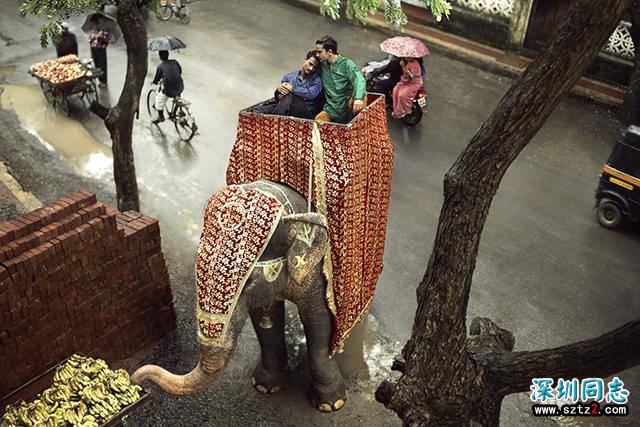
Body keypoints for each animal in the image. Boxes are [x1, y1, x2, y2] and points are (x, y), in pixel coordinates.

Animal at [131, 180, 350, 412]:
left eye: (249, 283)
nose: (136, 379)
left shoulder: (317, 269)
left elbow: (318, 319)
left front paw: (330, 404)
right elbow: (266, 318)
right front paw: (265, 386)